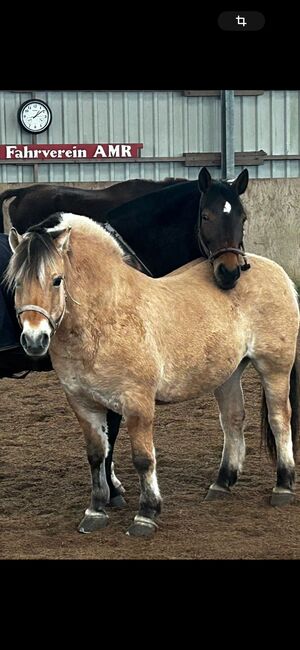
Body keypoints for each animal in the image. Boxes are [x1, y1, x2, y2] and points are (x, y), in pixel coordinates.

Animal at [5, 213, 298, 536]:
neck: (105, 317)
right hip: (229, 374)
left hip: (275, 367)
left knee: (279, 418)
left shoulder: (138, 403)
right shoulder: (83, 404)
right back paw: (222, 483)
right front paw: (95, 511)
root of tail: (274, 270)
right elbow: (96, 456)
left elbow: (143, 459)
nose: (34, 339)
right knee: (233, 420)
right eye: (16, 282)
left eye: (57, 280)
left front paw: (146, 514)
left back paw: (283, 486)